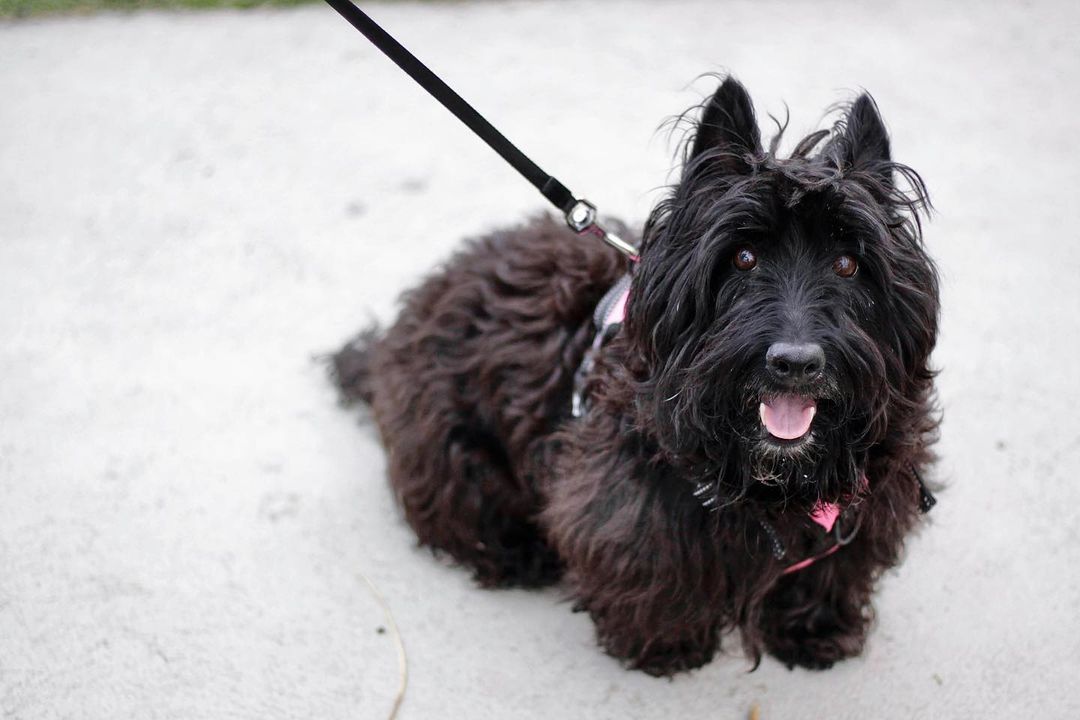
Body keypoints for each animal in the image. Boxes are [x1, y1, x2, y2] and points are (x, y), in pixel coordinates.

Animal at [332, 78, 941, 677]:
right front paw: (666, 647)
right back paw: (520, 553)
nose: (794, 363)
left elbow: (830, 567)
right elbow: (652, 572)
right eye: (743, 257)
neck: (775, 478)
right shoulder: (629, 504)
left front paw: (815, 630)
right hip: (450, 446)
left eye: (848, 263)